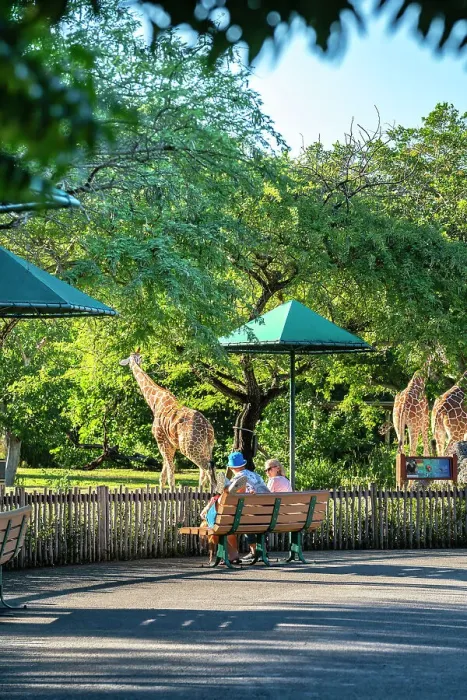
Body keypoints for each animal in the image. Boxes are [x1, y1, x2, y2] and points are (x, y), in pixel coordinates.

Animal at [119, 351, 216, 490]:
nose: (132, 365)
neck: (155, 402)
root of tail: (208, 429)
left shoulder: (160, 439)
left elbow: (170, 473)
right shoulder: (170, 444)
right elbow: (163, 476)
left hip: (189, 447)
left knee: (207, 469)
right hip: (207, 447)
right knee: (207, 471)